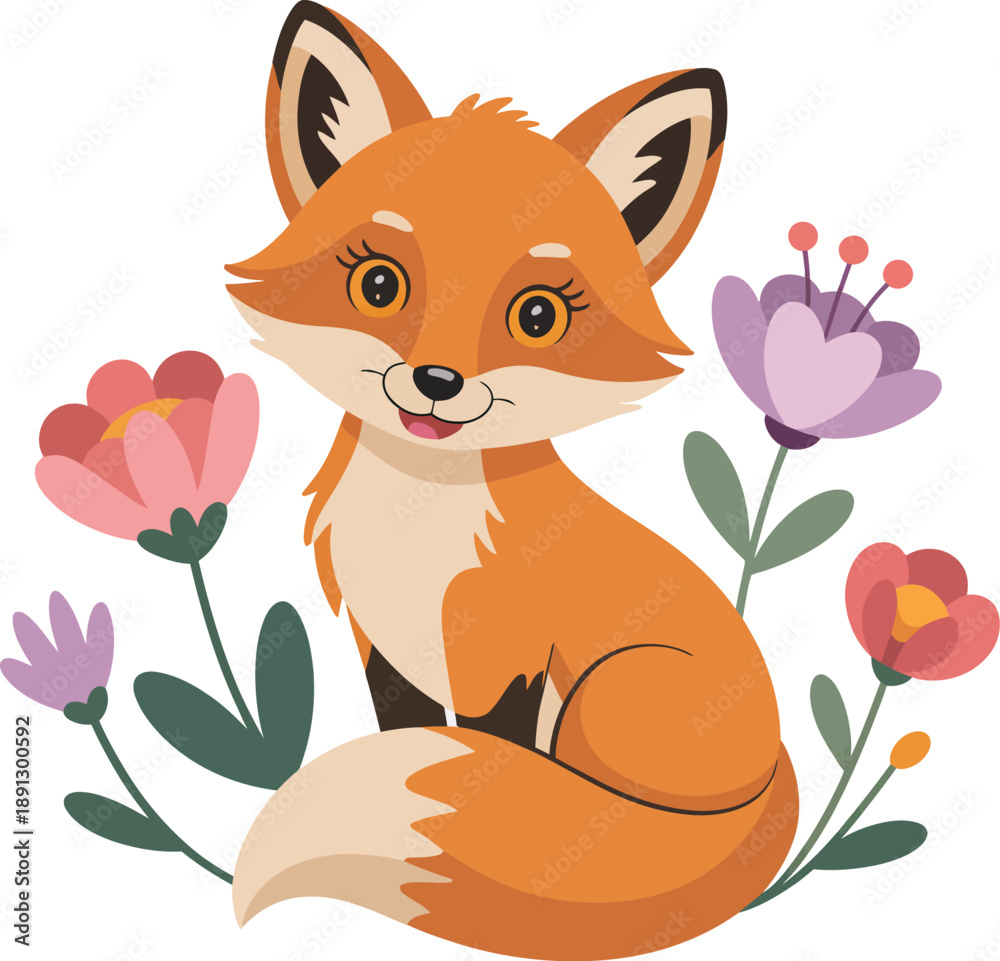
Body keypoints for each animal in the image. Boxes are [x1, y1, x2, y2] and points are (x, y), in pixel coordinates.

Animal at [226, 4, 798, 958]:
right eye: (378, 283)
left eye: (538, 315)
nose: (437, 382)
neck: (417, 526)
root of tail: (780, 757)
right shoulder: (388, 649)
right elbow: (413, 734)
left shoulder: (511, 657)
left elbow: (493, 758)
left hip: (606, 699)